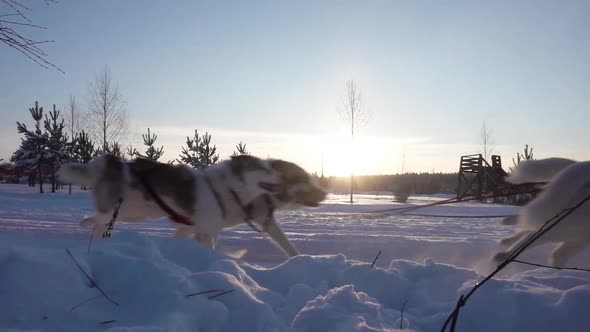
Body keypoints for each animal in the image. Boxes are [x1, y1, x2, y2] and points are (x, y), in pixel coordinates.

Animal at [59, 154, 328, 258]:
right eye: (264, 169)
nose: (325, 193)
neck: (227, 191)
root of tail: (111, 162)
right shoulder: (205, 230)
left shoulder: (195, 228)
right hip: (119, 211)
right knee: (100, 223)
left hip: (131, 213)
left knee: (94, 220)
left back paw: (85, 226)